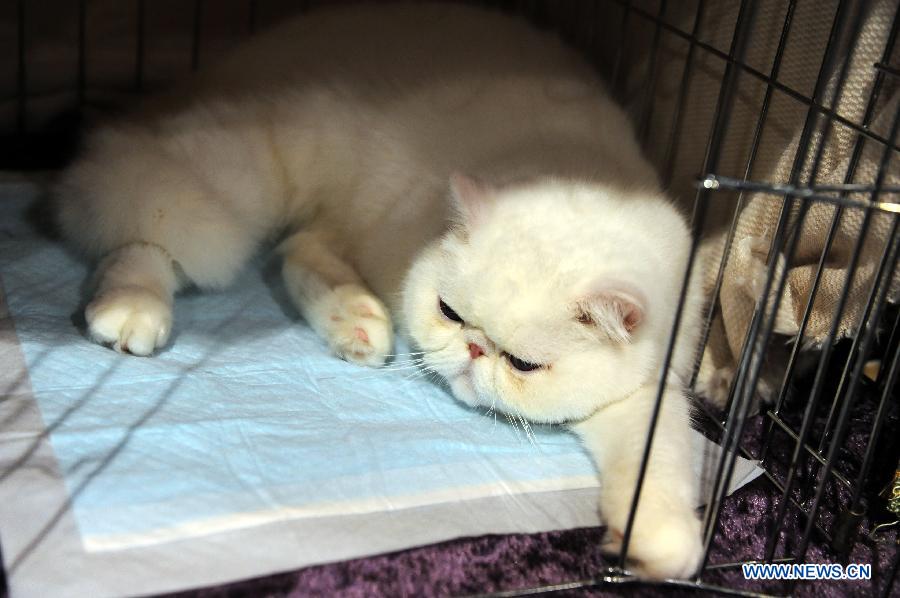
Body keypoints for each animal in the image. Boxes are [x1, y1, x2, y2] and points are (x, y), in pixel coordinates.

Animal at [54, 1, 704, 580]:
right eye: (449, 313)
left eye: (522, 364)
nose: (472, 350)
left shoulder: (643, 393)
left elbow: (660, 456)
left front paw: (660, 547)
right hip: (237, 186)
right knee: (149, 227)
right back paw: (130, 308)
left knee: (295, 251)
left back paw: (358, 324)